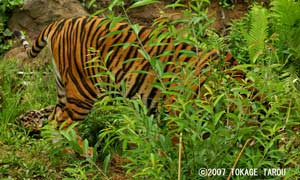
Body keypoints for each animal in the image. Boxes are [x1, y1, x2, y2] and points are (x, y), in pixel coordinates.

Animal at [14, 15, 239, 155]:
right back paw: (81, 152)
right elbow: (179, 142)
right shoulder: (176, 108)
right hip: (82, 90)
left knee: (53, 119)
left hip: (63, 86)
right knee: (62, 122)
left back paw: (61, 150)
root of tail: (60, 22)